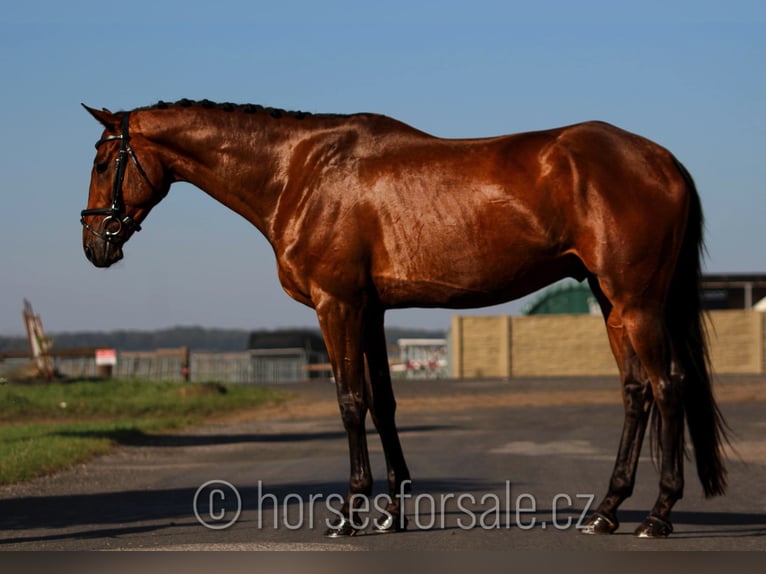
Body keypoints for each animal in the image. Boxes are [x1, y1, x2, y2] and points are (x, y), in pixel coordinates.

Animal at [81, 100, 728, 540]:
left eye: (105, 160)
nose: (94, 244)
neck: (300, 172)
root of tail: (663, 160)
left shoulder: (337, 305)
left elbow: (349, 402)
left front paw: (350, 513)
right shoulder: (370, 311)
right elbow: (383, 404)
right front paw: (392, 511)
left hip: (637, 302)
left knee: (668, 387)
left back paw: (658, 515)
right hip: (612, 302)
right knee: (636, 392)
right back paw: (607, 512)